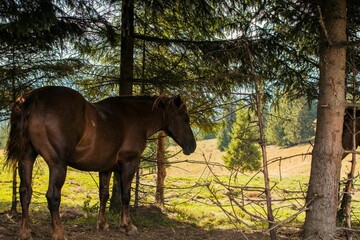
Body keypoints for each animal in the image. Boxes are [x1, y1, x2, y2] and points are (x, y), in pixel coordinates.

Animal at [4, 86, 197, 240]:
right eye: (185, 119)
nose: (192, 146)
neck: (136, 116)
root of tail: (35, 97)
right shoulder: (129, 163)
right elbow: (125, 195)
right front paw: (127, 226)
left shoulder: (106, 168)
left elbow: (103, 195)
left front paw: (102, 224)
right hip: (57, 164)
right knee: (53, 197)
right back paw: (59, 233)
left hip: (26, 158)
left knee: (25, 192)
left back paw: (25, 232)